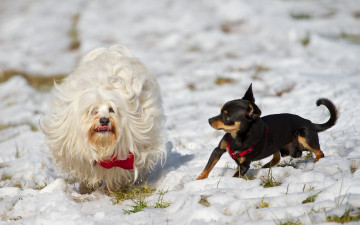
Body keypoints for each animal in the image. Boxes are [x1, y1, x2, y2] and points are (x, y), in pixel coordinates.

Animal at [197, 83, 338, 180]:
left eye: (226, 117)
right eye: (220, 112)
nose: (209, 120)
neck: (238, 137)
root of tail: (310, 122)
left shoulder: (244, 165)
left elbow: (234, 175)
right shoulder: (218, 150)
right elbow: (207, 168)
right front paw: (199, 180)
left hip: (304, 136)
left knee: (319, 152)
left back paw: (315, 162)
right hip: (285, 147)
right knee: (277, 157)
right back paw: (266, 167)